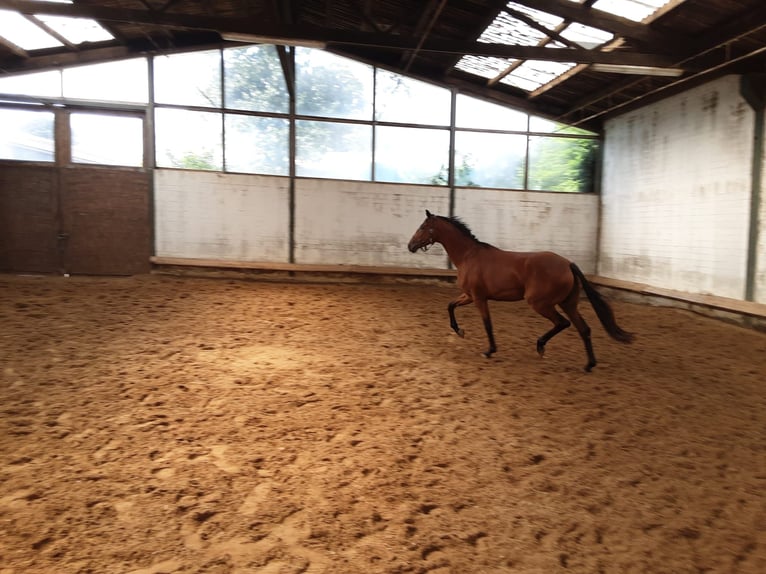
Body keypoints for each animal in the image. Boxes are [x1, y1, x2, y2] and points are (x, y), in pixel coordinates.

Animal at [408, 212, 636, 374]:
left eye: (422, 228)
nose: (410, 246)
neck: (468, 256)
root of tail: (567, 264)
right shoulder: (469, 296)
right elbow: (450, 305)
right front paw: (459, 331)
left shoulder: (479, 298)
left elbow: (487, 324)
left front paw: (489, 351)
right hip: (567, 303)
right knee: (584, 329)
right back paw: (589, 365)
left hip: (540, 303)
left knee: (562, 323)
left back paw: (541, 346)